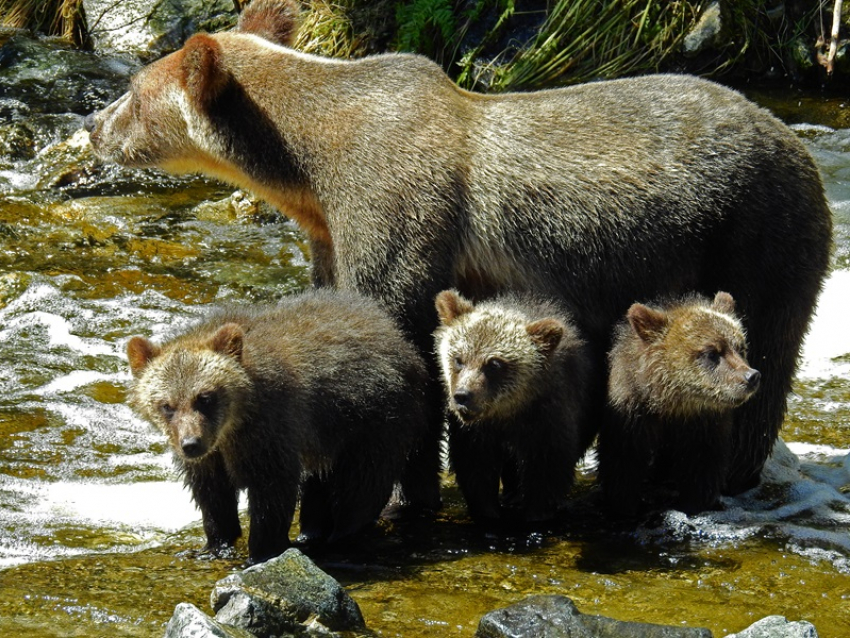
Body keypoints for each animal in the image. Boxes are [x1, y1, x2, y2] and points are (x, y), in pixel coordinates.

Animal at [84, 0, 828, 496]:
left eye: (131, 90)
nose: (92, 124)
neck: (307, 165)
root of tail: (796, 141)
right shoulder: (327, 228)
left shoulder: (396, 202)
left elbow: (394, 314)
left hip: (756, 231)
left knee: (764, 355)